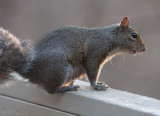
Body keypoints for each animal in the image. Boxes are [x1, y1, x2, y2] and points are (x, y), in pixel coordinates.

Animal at [0, 17, 146, 93]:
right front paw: (96, 85)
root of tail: (32, 73)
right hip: (59, 68)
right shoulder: (95, 53)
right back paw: (67, 88)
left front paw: (99, 82)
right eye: (134, 35)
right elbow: (92, 71)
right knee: (50, 90)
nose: (144, 49)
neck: (109, 37)